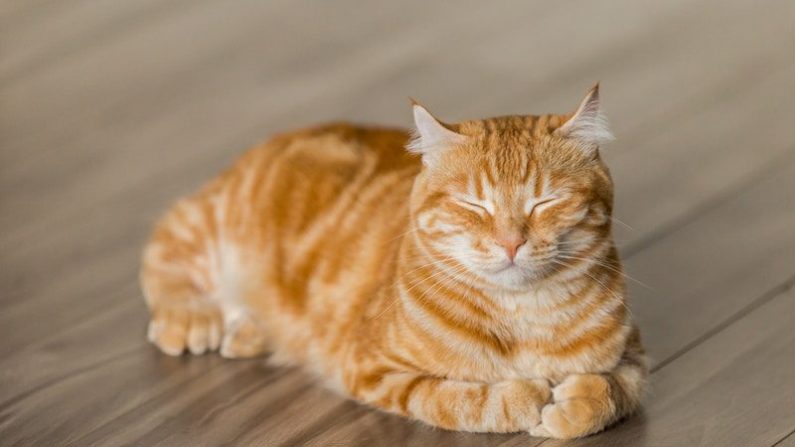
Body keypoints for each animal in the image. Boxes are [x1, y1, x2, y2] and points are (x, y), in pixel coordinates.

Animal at [140, 86, 648, 440]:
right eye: (473, 205)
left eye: (545, 201)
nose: (510, 243)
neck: (523, 315)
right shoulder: (377, 370)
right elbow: (462, 399)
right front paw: (527, 396)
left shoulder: (634, 357)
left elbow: (612, 392)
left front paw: (574, 405)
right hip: (210, 224)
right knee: (164, 249)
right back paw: (193, 316)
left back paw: (248, 332)